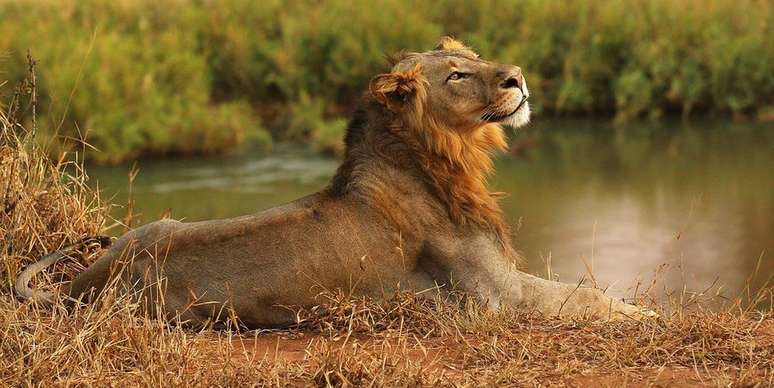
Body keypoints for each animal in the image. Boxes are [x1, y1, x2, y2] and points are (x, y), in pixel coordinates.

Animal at [15, 37, 652, 328]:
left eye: (475, 56)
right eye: (458, 74)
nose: (517, 77)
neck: (449, 161)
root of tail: (90, 280)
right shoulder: (496, 299)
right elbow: (583, 295)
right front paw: (645, 316)